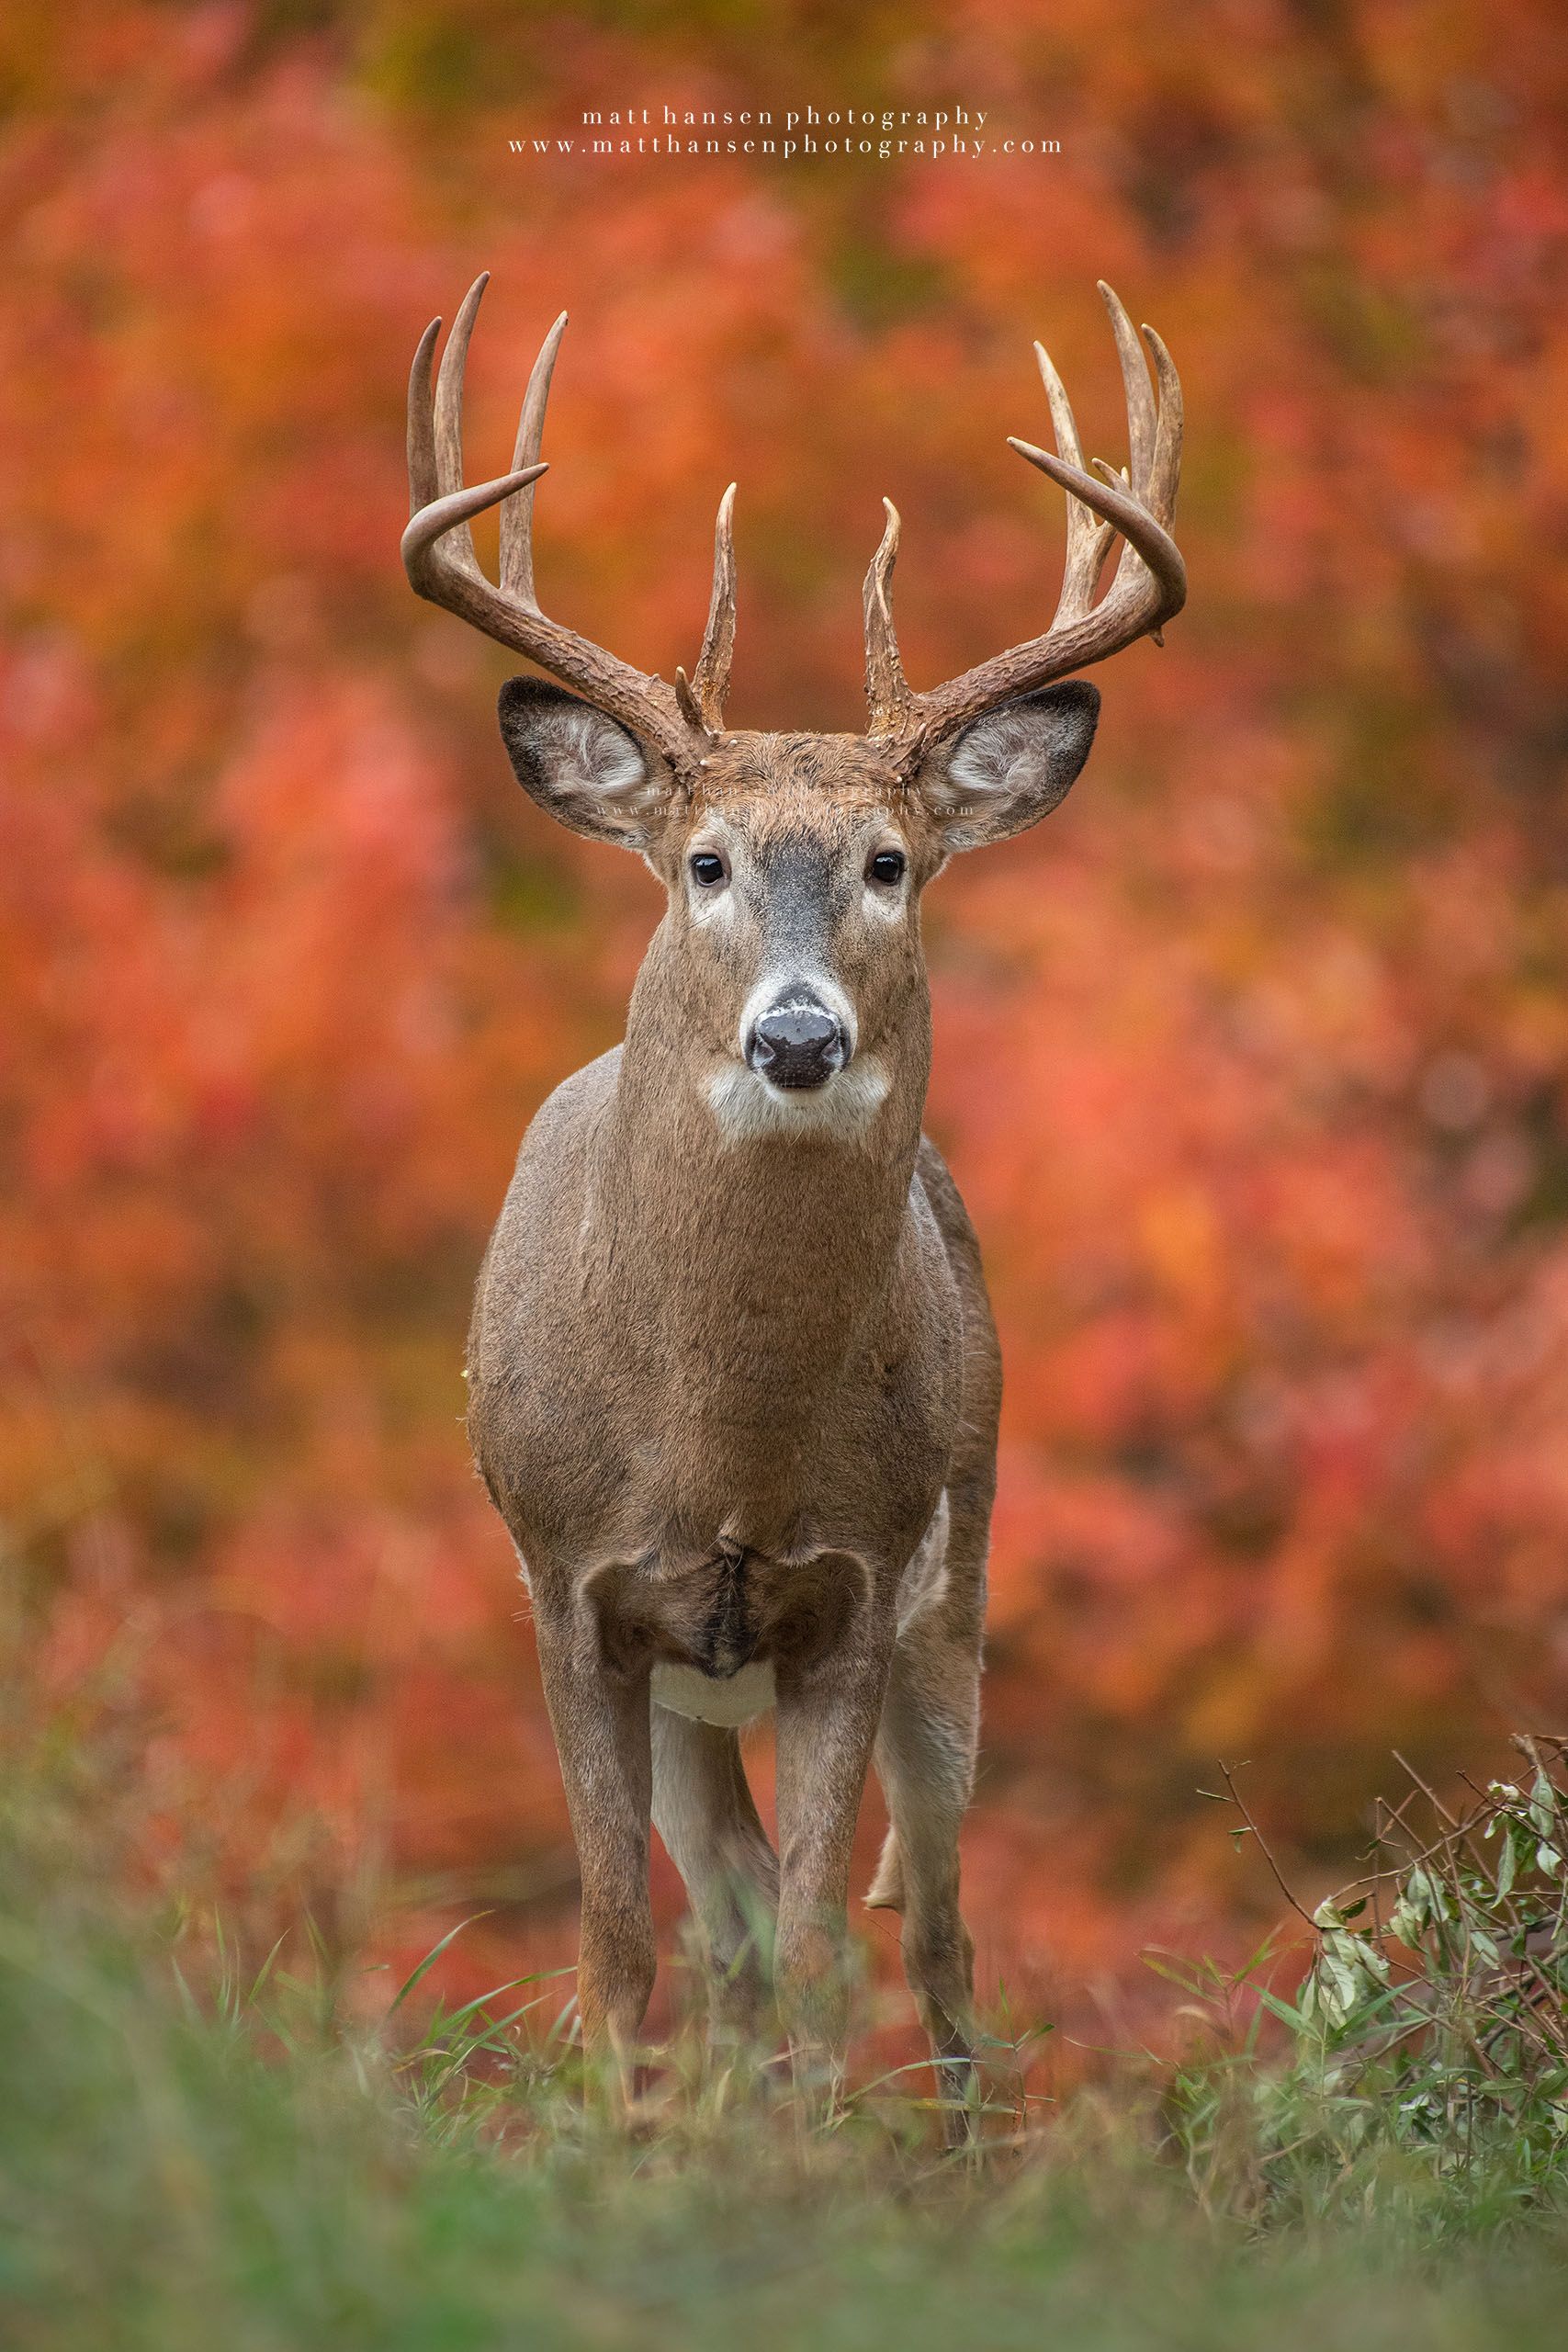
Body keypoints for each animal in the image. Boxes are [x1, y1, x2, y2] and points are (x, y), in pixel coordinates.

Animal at [401, 273, 1184, 2134]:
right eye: (705, 863)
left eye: (890, 864)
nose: (801, 1036)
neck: (725, 1449)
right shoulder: (569, 1586)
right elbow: (623, 1944)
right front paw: (627, 2145)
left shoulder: (857, 1584)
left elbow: (837, 1946)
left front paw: (808, 2156)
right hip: (703, 1686)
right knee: (734, 1913)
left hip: (959, 1588)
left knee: (935, 1928)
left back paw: (954, 2142)